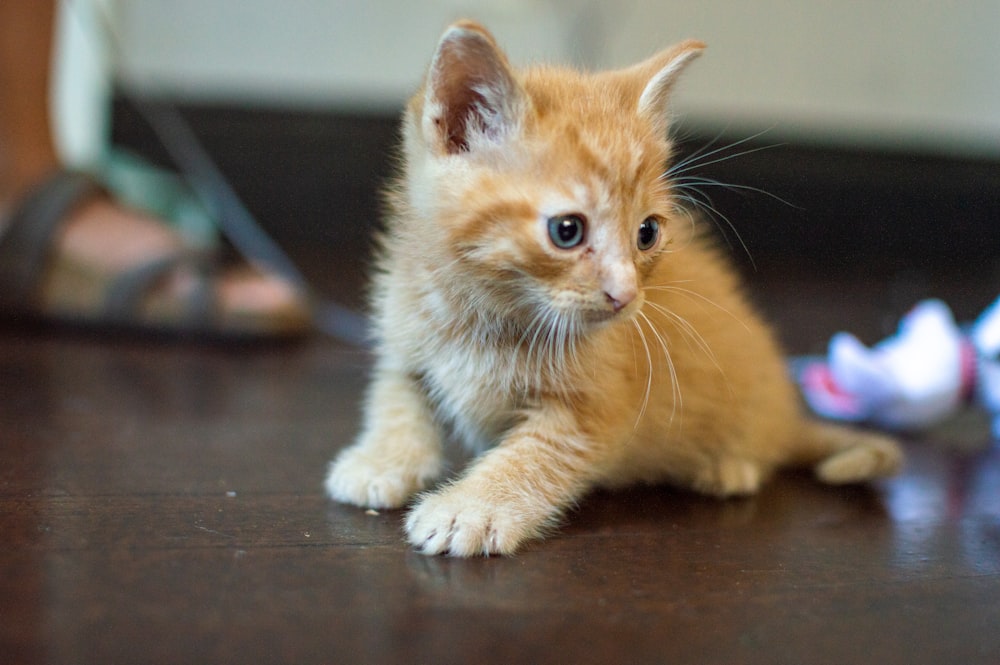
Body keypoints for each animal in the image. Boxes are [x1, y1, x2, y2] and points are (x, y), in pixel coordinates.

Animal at [324, 19, 904, 556]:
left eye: (646, 232)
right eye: (567, 230)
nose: (625, 296)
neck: (487, 314)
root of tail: (787, 415)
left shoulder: (593, 410)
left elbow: (533, 458)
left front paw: (473, 508)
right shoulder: (405, 338)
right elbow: (397, 399)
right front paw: (384, 461)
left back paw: (728, 467)